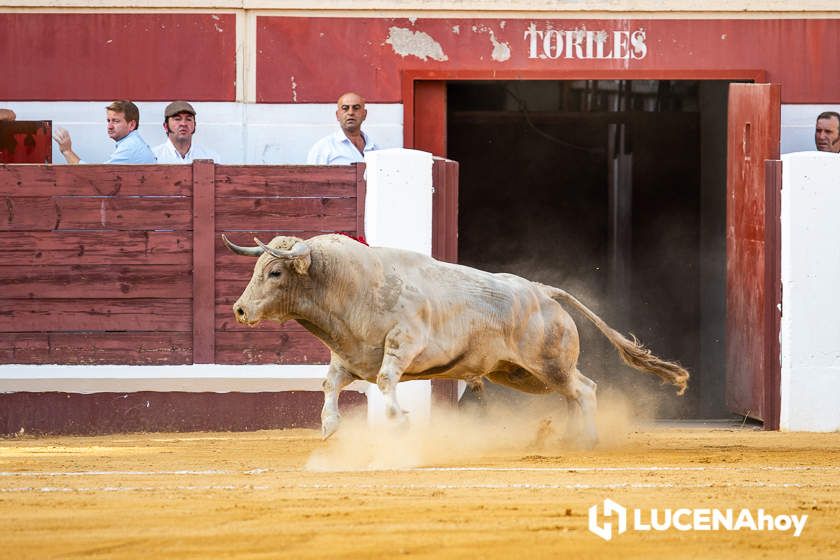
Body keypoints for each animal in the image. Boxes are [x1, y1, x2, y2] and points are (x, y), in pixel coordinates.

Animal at [223, 232, 688, 446]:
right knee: (575, 392)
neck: (354, 286)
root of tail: (541, 291)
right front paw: (329, 427)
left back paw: (587, 439)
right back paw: (569, 437)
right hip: (522, 375)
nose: (240, 310)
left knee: (584, 389)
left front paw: (400, 420)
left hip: (548, 365)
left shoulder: (403, 344)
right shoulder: (349, 359)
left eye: (275, 272)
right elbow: (329, 385)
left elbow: (388, 381)